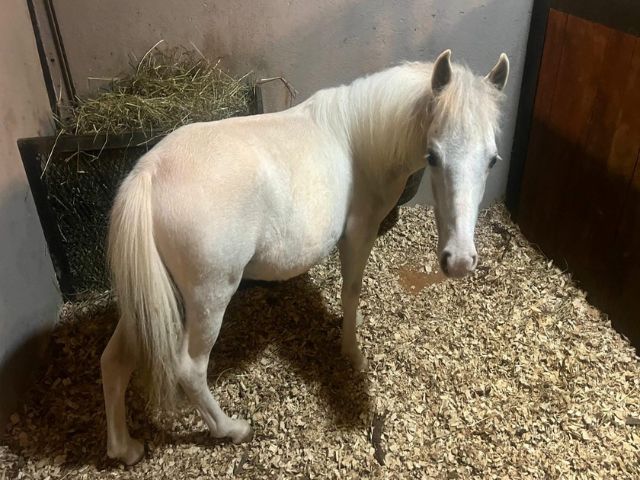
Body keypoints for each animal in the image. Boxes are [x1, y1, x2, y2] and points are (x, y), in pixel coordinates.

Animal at [101, 49, 510, 464]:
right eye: (433, 156)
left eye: (492, 160)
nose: (459, 260)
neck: (360, 140)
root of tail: (149, 174)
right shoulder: (359, 234)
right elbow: (351, 290)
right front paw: (352, 351)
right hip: (209, 297)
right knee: (189, 369)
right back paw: (231, 429)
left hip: (151, 300)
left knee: (113, 360)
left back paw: (124, 448)